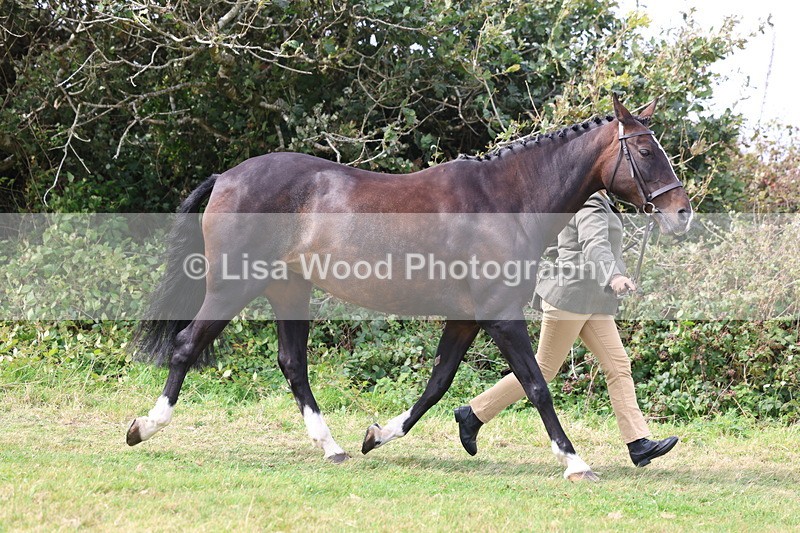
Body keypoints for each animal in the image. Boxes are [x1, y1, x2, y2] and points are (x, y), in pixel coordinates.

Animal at [127, 94, 692, 481]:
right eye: (645, 149)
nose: (681, 213)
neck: (504, 201)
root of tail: (226, 177)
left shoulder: (466, 319)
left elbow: (437, 384)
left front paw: (378, 435)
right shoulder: (502, 317)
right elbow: (536, 385)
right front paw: (575, 462)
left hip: (289, 290)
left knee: (292, 364)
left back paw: (332, 447)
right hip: (233, 287)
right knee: (186, 345)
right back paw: (144, 427)